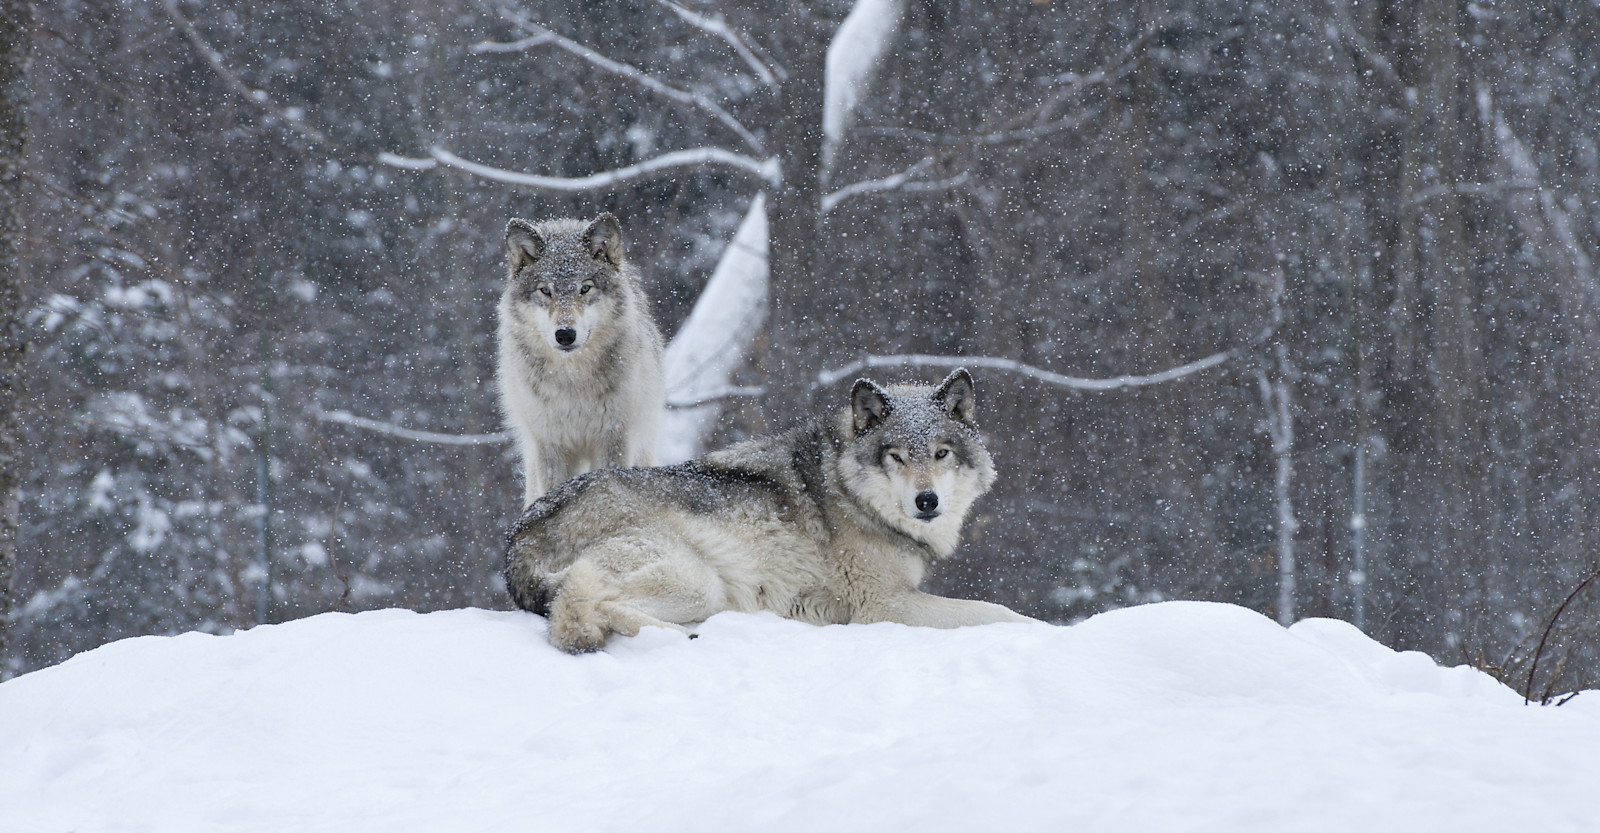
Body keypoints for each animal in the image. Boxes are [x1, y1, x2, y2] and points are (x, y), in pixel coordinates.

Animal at [489, 212, 659, 505]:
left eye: (585, 288)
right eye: (546, 291)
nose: (565, 335)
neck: (572, 380)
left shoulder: (613, 438)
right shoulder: (550, 444)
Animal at [505, 367, 1043, 652]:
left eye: (941, 453)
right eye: (896, 457)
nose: (926, 501)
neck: (850, 494)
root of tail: (517, 542)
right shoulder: (884, 606)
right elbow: (998, 612)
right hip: (696, 581)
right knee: (582, 601)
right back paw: (688, 638)